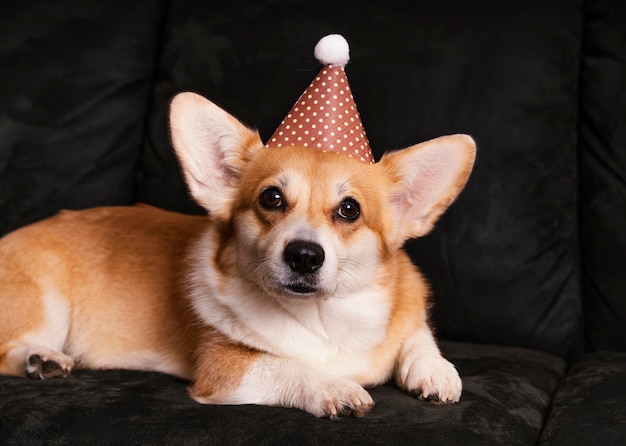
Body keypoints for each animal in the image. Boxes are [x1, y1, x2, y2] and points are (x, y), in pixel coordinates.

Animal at [0, 92, 472, 420]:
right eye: (271, 198)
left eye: (350, 209)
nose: (304, 255)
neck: (325, 316)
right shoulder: (224, 367)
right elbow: (286, 366)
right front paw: (332, 387)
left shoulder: (407, 316)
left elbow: (418, 336)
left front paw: (435, 370)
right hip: (47, 302)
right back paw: (39, 358)